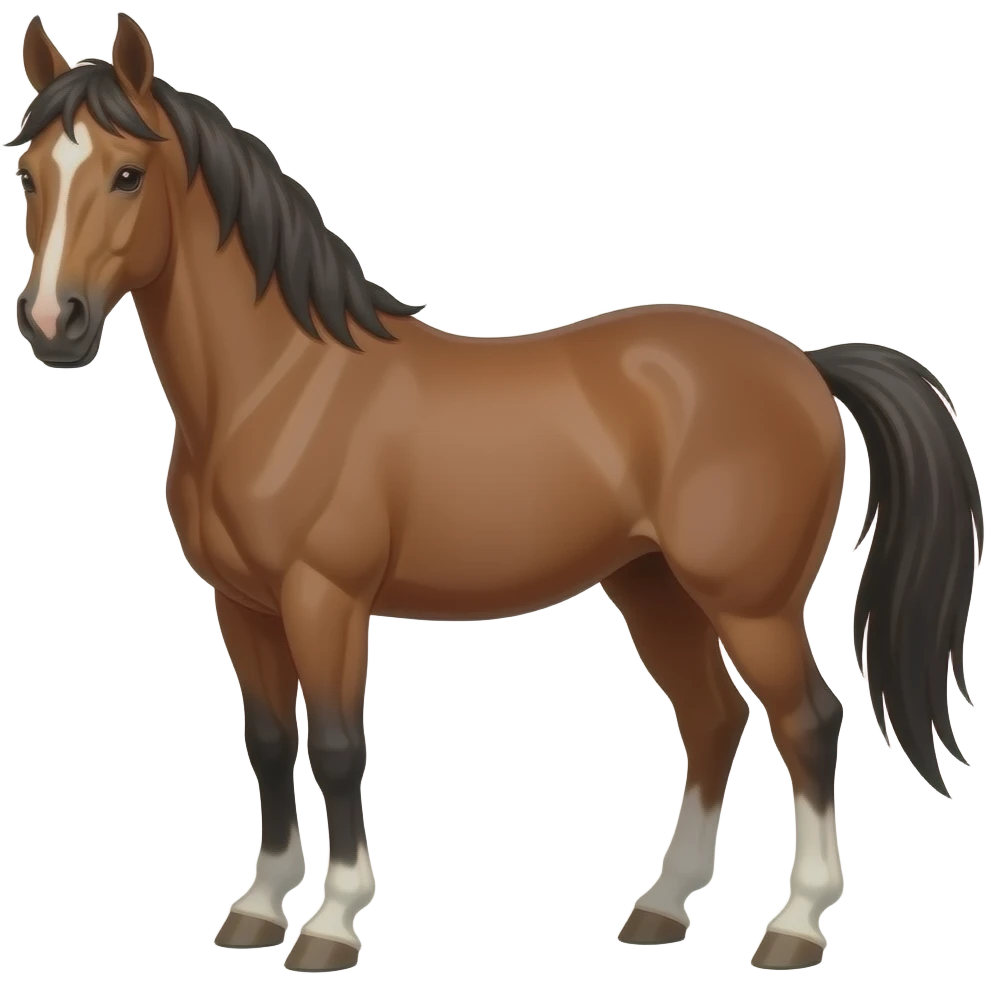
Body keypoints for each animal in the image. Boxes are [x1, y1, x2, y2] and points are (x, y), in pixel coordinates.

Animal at [11, 13, 981, 975]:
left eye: (128, 174)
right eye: (30, 175)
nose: (53, 323)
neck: (280, 383)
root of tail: (804, 364)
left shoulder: (325, 599)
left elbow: (337, 747)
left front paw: (331, 923)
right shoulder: (241, 604)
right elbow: (268, 741)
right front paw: (256, 908)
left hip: (750, 603)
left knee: (804, 719)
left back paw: (794, 924)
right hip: (652, 587)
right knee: (713, 718)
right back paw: (660, 908)